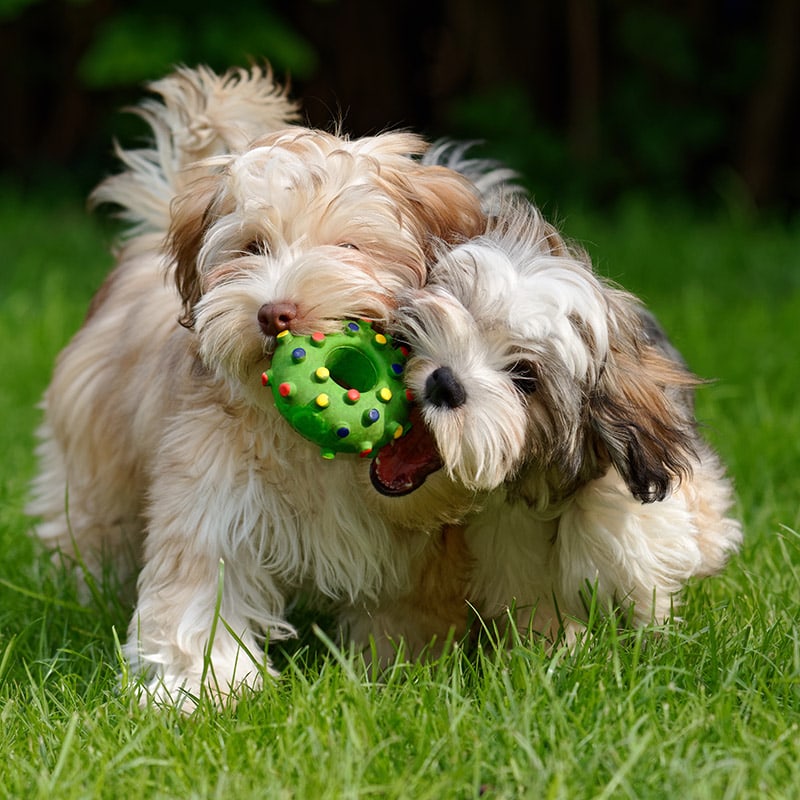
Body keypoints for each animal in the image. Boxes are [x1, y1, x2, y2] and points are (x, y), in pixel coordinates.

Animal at [26, 67, 488, 708]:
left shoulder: (414, 547)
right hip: (95, 457)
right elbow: (201, 587)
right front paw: (201, 688)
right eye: (251, 249)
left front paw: (396, 674)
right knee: (87, 521)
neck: (314, 447)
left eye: (348, 248)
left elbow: (406, 609)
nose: (275, 313)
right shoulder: (211, 490)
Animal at [358, 197, 744, 652]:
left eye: (526, 377)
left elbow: (645, 588)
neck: (540, 490)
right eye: (460, 315)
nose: (444, 382)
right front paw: (555, 651)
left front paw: (655, 641)